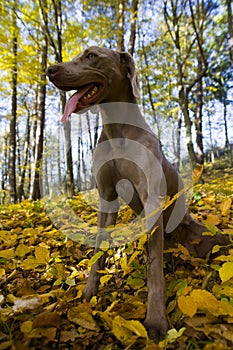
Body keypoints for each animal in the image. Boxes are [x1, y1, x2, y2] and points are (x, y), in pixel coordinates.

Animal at [46, 46, 229, 340]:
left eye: (91, 56)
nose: (50, 70)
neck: (117, 130)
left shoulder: (151, 198)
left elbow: (154, 268)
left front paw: (156, 320)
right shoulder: (106, 197)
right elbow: (98, 249)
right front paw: (89, 293)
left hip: (207, 234)